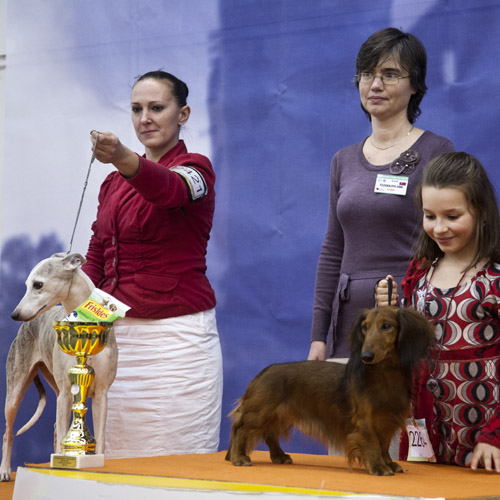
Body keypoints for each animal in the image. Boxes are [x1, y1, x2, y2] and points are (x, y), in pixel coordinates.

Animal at [0, 254, 118, 480]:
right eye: (27, 285)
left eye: (38, 284)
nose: (14, 315)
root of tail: (24, 327)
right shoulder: (65, 393)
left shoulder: (101, 395)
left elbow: (99, 438)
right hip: (15, 392)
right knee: (8, 433)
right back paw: (5, 471)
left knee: (55, 428)